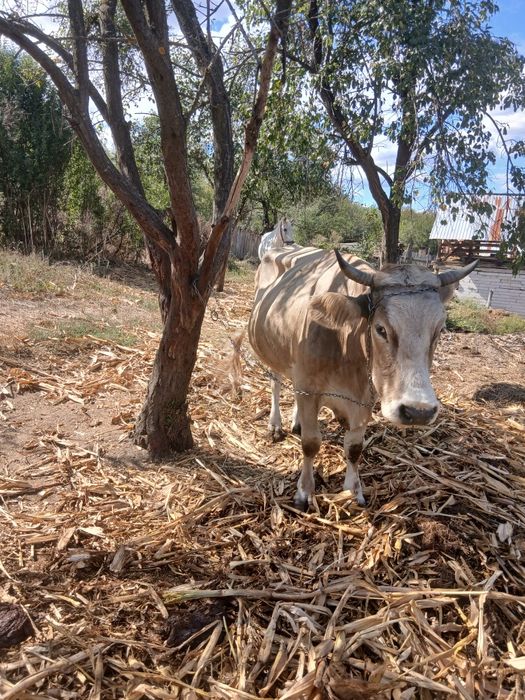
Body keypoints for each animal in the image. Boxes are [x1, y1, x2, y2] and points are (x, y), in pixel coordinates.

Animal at [248, 246, 477, 510]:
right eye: (381, 329)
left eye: (439, 330)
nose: (418, 411)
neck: (345, 343)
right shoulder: (310, 388)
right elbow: (311, 443)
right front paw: (305, 492)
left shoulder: (364, 398)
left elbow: (355, 448)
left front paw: (353, 491)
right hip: (272, 354)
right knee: (275, 383)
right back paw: (275, 425)